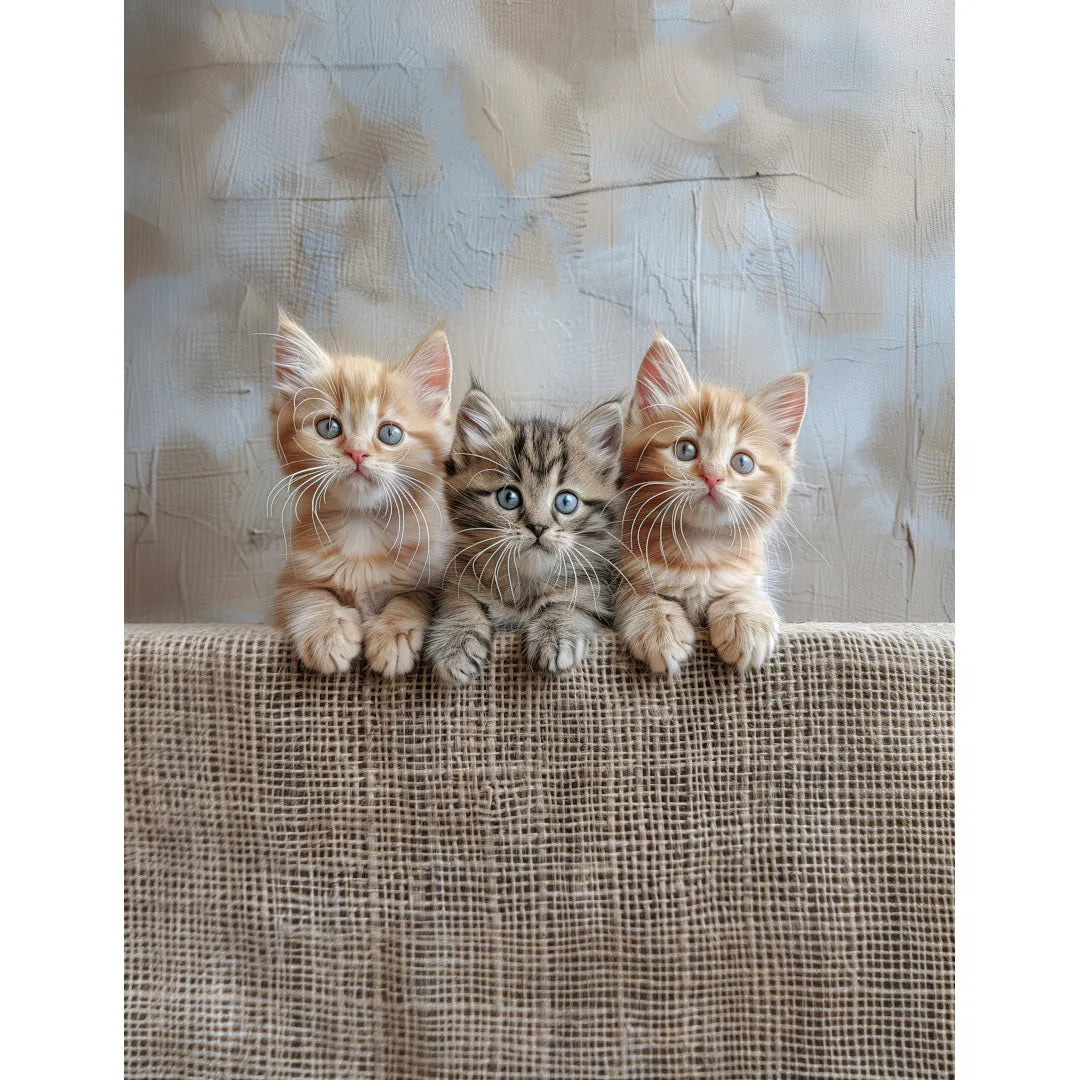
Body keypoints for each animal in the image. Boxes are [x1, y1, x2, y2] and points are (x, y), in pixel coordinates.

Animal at [274, 313, 455, 678]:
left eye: (390, 433)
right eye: (328, 427)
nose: (357, 453)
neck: (362, 528)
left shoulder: (431, 575)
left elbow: (411, 598)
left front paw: (393, 633)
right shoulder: (288, 581)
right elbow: (308, 595)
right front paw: (326, 632)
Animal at [423, 388, 626, 682]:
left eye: (566, 501)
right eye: (509, 497)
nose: (538, 527)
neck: (524, 584)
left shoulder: (595, 591)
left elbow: (570, 605)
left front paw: (555, 634)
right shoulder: (457, 578)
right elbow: (458, 602)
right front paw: (455, 643)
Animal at [617, 334, 812, 673]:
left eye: (742, 462)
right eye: (685, 450)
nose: (712, 477)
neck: (700, 553)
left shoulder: (749, 573)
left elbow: (745, 592)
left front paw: (746, 620)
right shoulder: (617, 573)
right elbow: (640, 594)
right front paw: (659, 627)